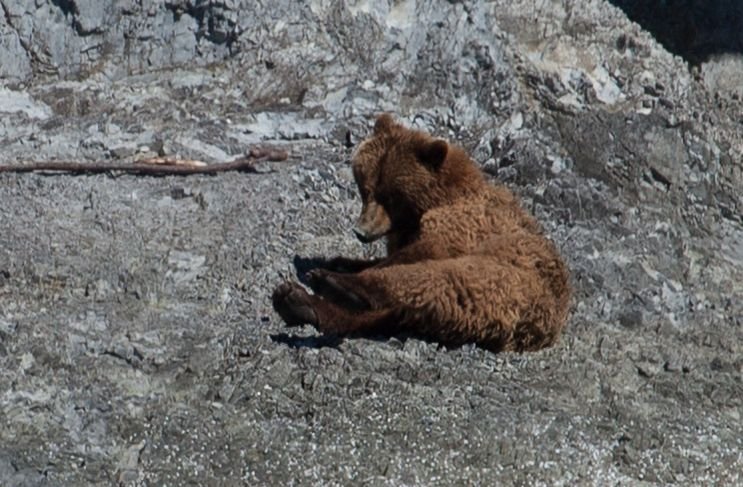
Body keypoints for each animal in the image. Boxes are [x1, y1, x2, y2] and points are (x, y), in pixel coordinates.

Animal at [272, 114, 568, 350]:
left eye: (391, 197)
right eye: (365, 189)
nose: (361, 232)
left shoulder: (465, 223)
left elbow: (427, 247)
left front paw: (334, 269)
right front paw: (340, 261)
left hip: (502, 281)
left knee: (424, 280)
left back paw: (331, 284)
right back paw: (297, 302)